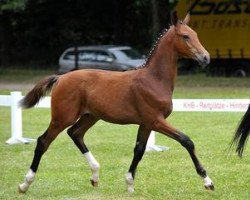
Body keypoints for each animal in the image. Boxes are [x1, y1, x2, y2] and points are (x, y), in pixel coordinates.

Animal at [18, 11, 214, 193]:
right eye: (185, 36)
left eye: (195, 34)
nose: (206, 58)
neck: (154, 79)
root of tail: (60, 78)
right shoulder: (156, 120)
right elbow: (186, 140)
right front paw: (207, 181)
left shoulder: (146, 123)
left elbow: (139, 150)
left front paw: (129, 184)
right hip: (62, 117)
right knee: (43, 141)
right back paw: (25, 184)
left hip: (91, 116)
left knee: (75, 133)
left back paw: (95, 175)